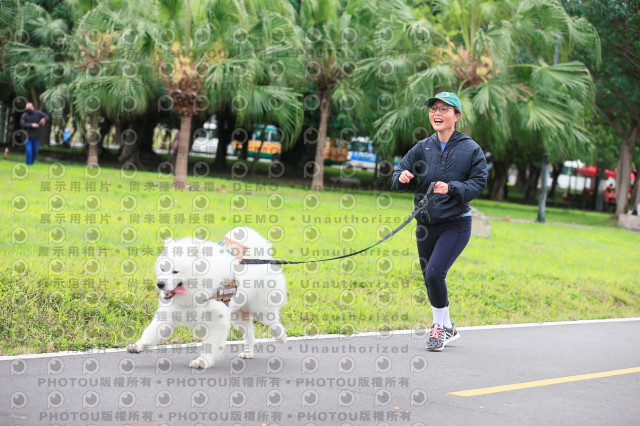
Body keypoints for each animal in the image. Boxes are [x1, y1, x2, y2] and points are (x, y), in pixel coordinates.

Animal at [126, 226, 287, 369]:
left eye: (175, 271)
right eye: (163, 269)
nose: (159, 284)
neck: (195, 291)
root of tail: (264, 258)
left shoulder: (217, 320)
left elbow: (210, 344)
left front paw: (202, 361)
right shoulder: (169, 313)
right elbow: (151, 332)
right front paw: (138, 345)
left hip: (260, 309)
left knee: (273, 321)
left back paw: (281, 337)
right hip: (238, 314)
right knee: (249, 332)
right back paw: (249, 353)